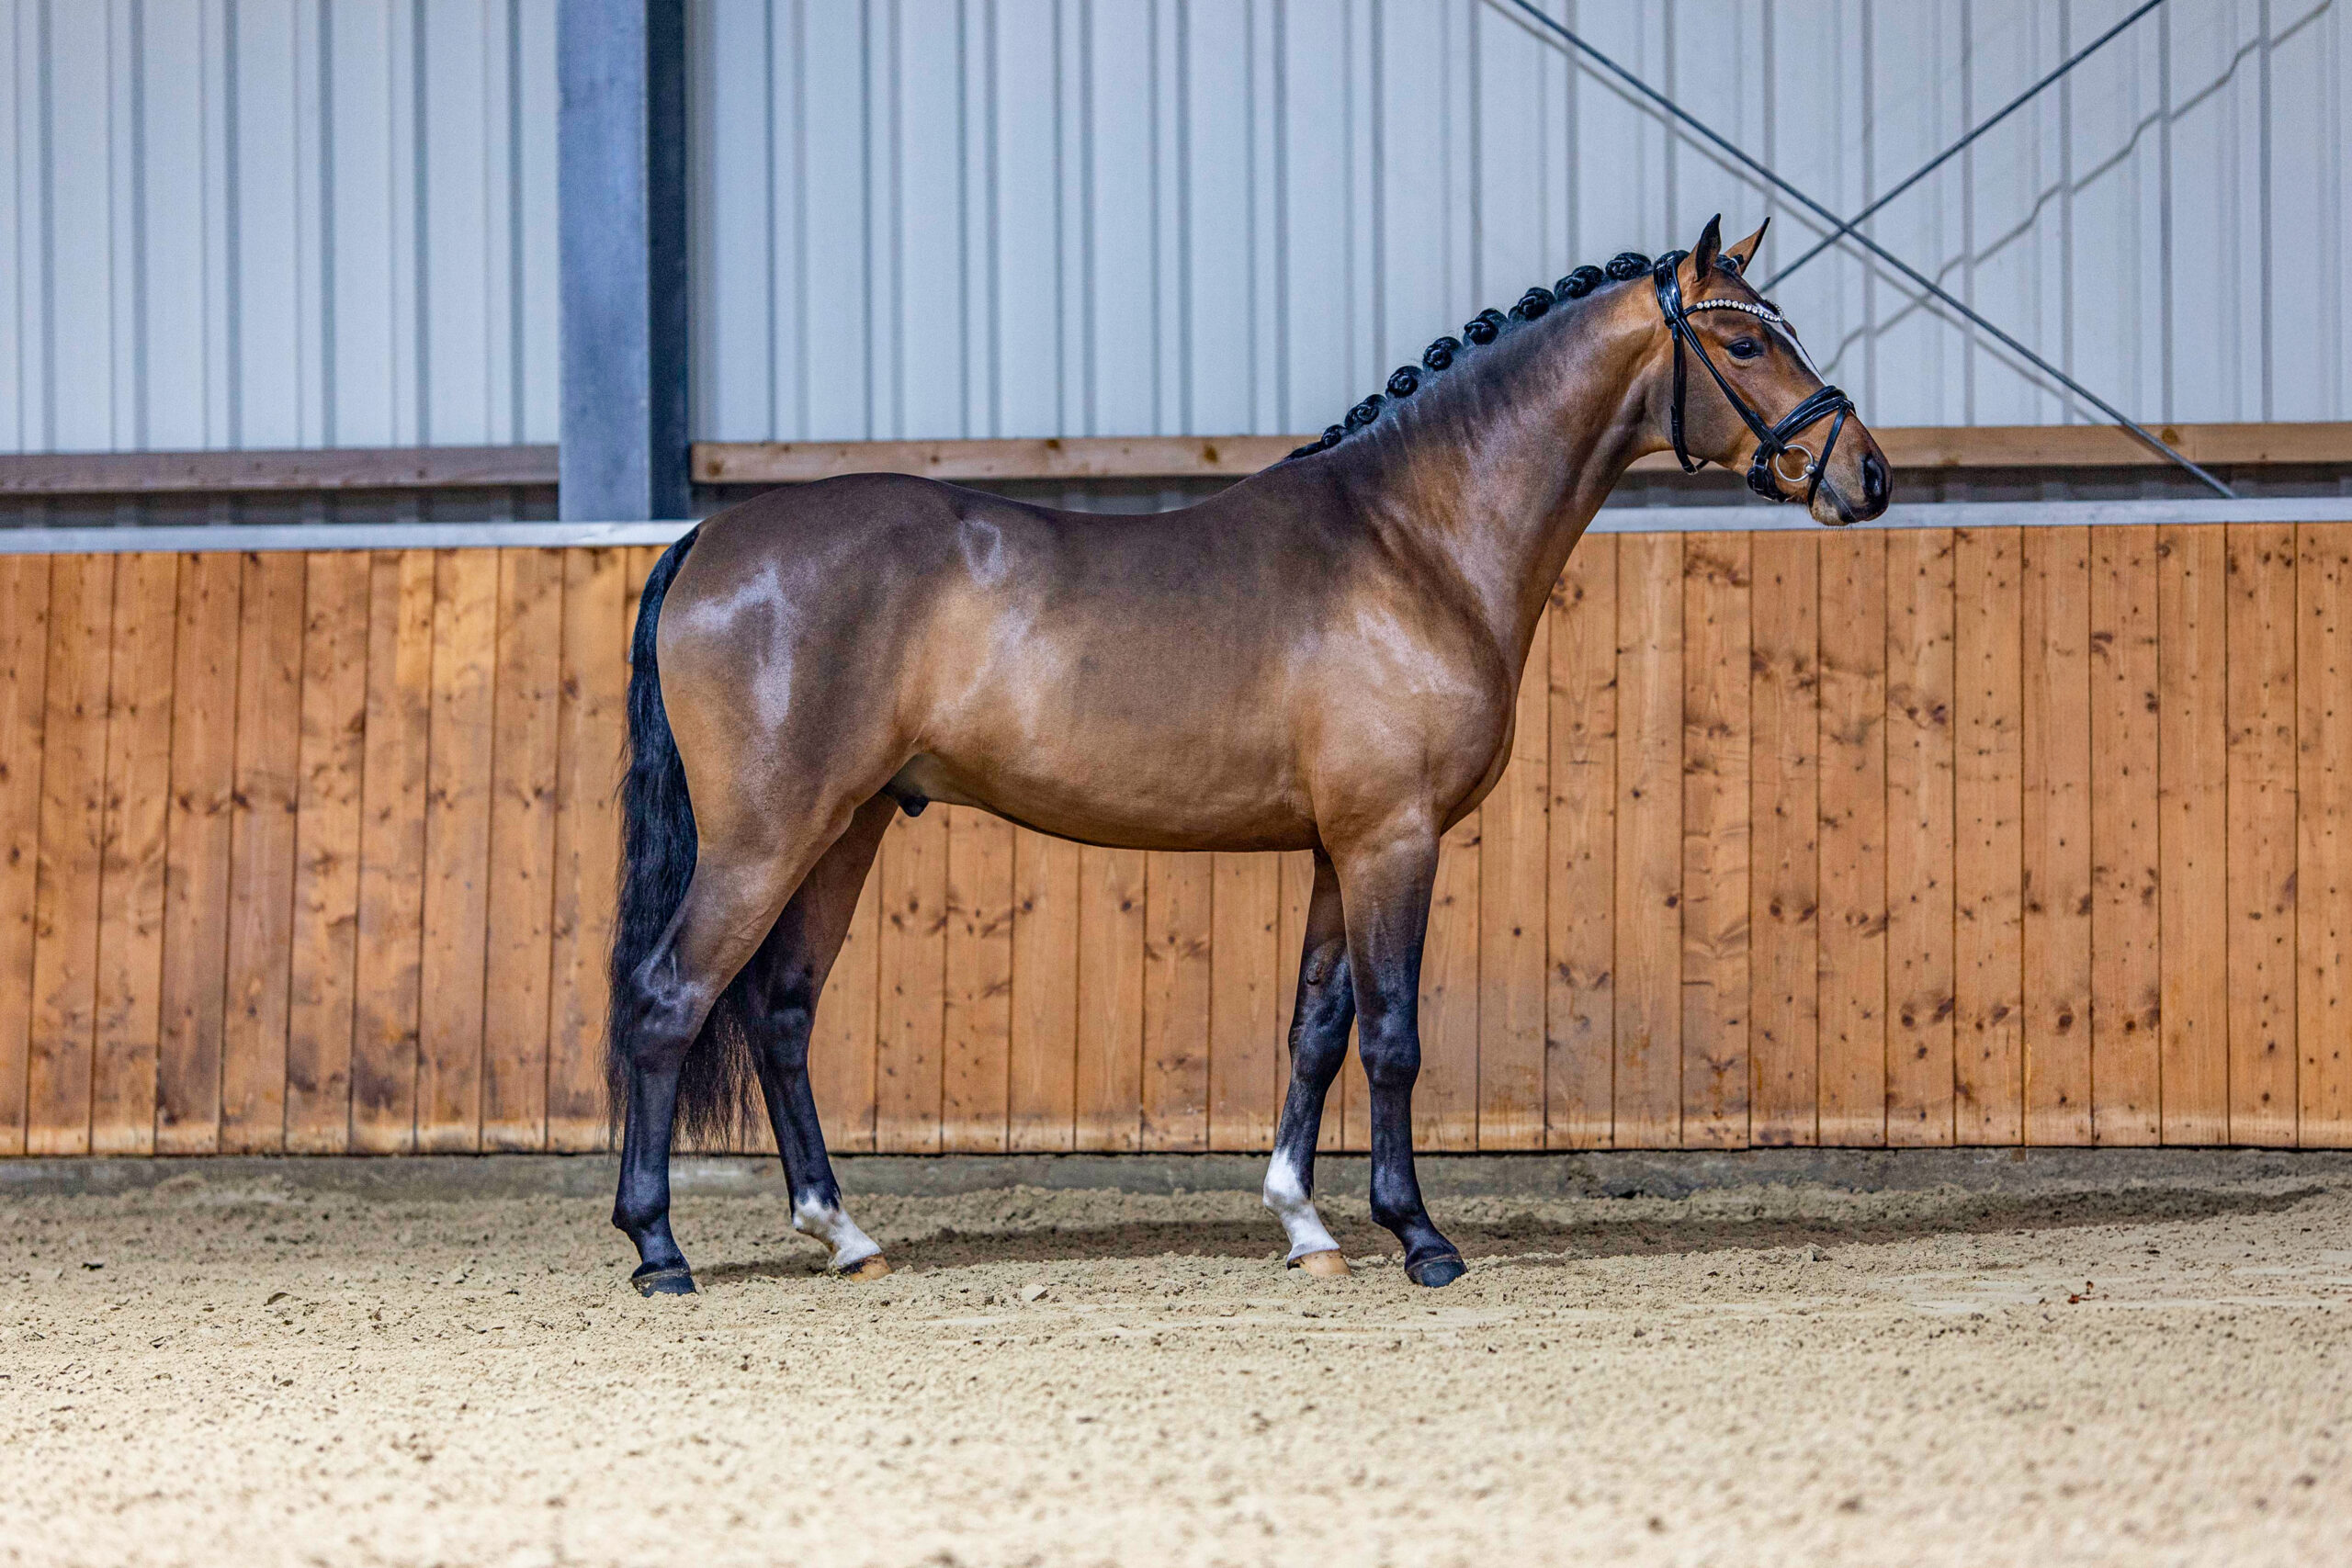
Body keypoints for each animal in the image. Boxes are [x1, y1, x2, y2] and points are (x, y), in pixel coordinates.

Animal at [607, 215, 1891, 1296]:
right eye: (1742, 339)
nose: (1863, 476)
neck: (1412, 541)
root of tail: (711, 537)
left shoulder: (1339, 846)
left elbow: (1316, 1031)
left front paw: (1305, 1226)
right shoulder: (1392, 839)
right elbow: (1391, 1038)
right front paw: (1419, 1237)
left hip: (848, 826)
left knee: (779, 1011)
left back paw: (843, 1234)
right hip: (768, 834)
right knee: (672, 997)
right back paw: (659, 1249)